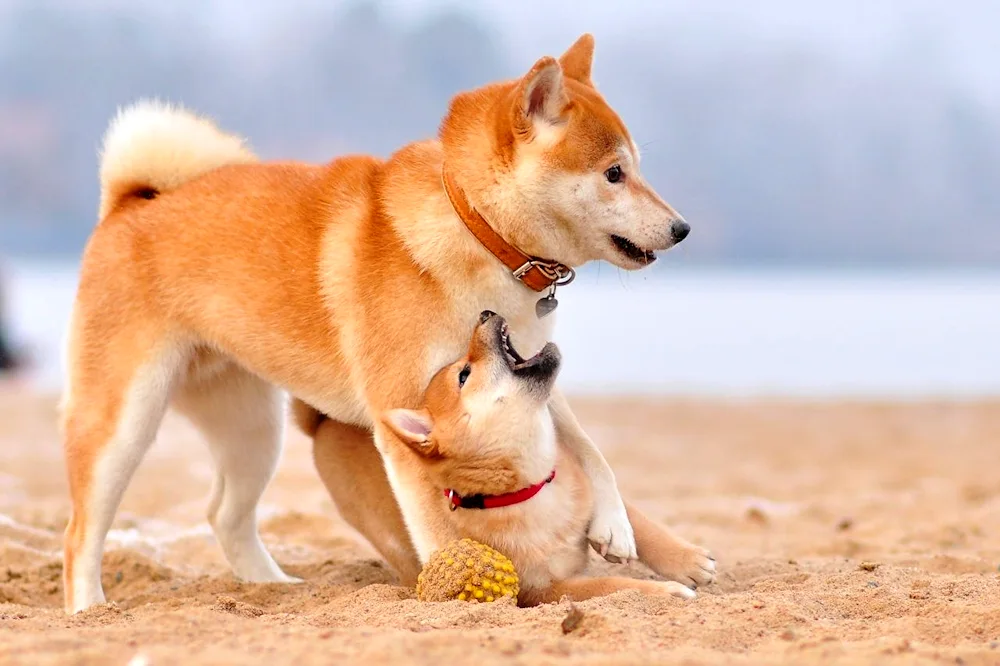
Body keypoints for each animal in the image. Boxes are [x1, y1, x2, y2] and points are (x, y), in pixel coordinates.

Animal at [366, 308, 712, 604]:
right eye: (464, 375)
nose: (485, 313)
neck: (535, 486)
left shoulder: (584, 482)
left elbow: (636, 520)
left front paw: (688, 561)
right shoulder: (545, 589)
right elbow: (609, 585)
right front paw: (667, 591)